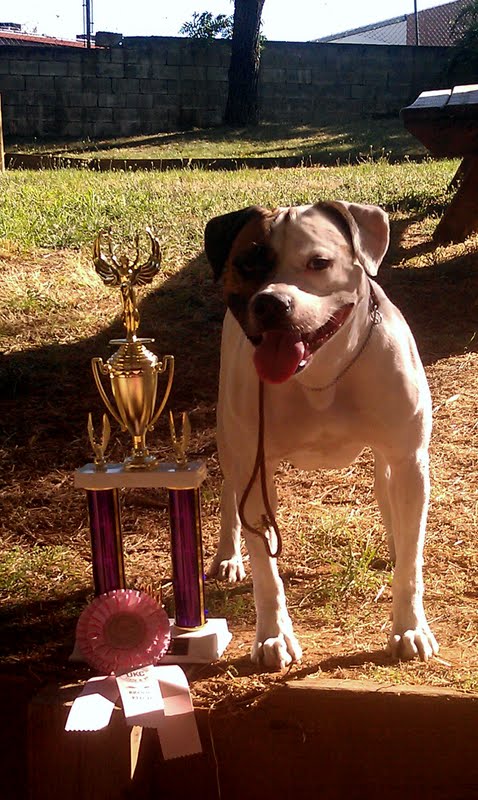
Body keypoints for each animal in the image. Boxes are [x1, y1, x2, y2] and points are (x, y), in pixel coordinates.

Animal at [204, 200, 438, 668]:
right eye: (248, 264)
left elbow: (412, 564)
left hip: (391, 461)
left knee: (388, 495)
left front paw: (409, 627)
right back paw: (228, 555)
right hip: (231, 445)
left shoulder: (409, 458)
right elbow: (267, 573)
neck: (320, 376)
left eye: (319, 263)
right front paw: (273, 636)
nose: (272, 302)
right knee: (227, 494)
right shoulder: (254, 469)